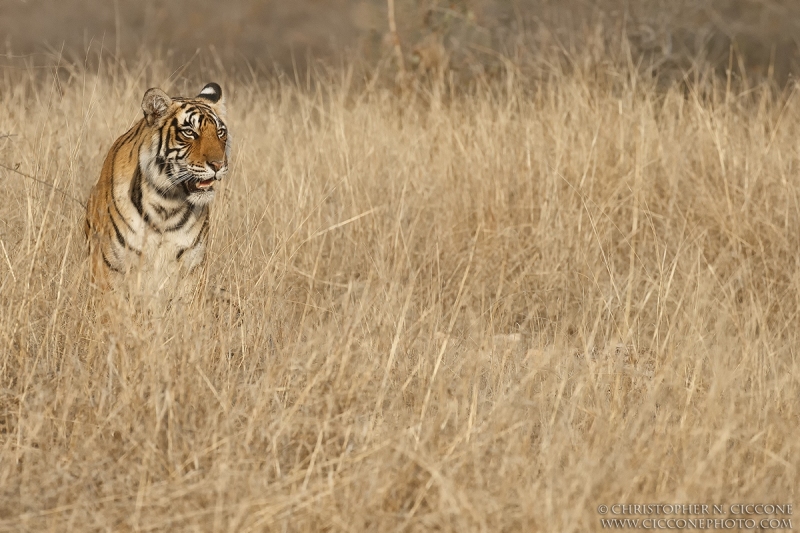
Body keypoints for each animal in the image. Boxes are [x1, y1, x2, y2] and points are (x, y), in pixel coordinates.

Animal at [83, 82, 228, 300]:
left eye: (220, 132)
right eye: (189, 132)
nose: (219, 164)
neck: (167, 204)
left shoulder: (190, 270)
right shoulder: (110, 269)